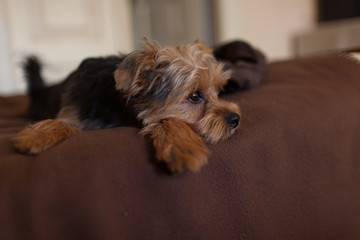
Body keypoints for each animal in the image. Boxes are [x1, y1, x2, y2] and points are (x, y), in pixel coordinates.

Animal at [12, 40, 240, 172]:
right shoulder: (73, 113)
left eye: (219, 90)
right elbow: (61, 123)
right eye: (194, 97)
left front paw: (182, 146)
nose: (236, 119)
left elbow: (168, 121)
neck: (114, 104)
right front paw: (35, 136)